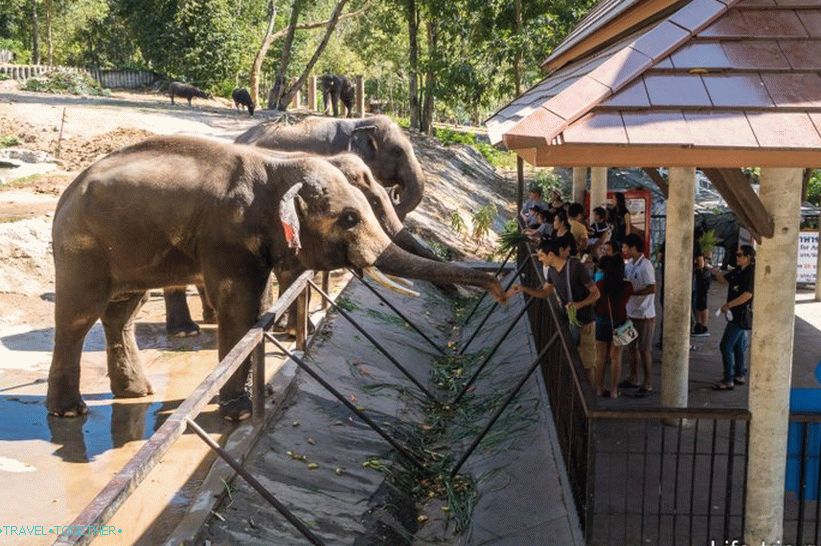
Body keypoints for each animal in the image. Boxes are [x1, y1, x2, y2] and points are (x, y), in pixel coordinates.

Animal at [48, 136, 502, 420]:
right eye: (350, 218)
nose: (500, 288)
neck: (275, 167)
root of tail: (67, 190)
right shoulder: (226, 235)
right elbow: (240, 305)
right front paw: (239, 412)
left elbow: (261, 301)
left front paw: (258, 391)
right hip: (80, 248)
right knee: (78, 317)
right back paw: (71, 410)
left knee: (122, 312)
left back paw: (136, 393)